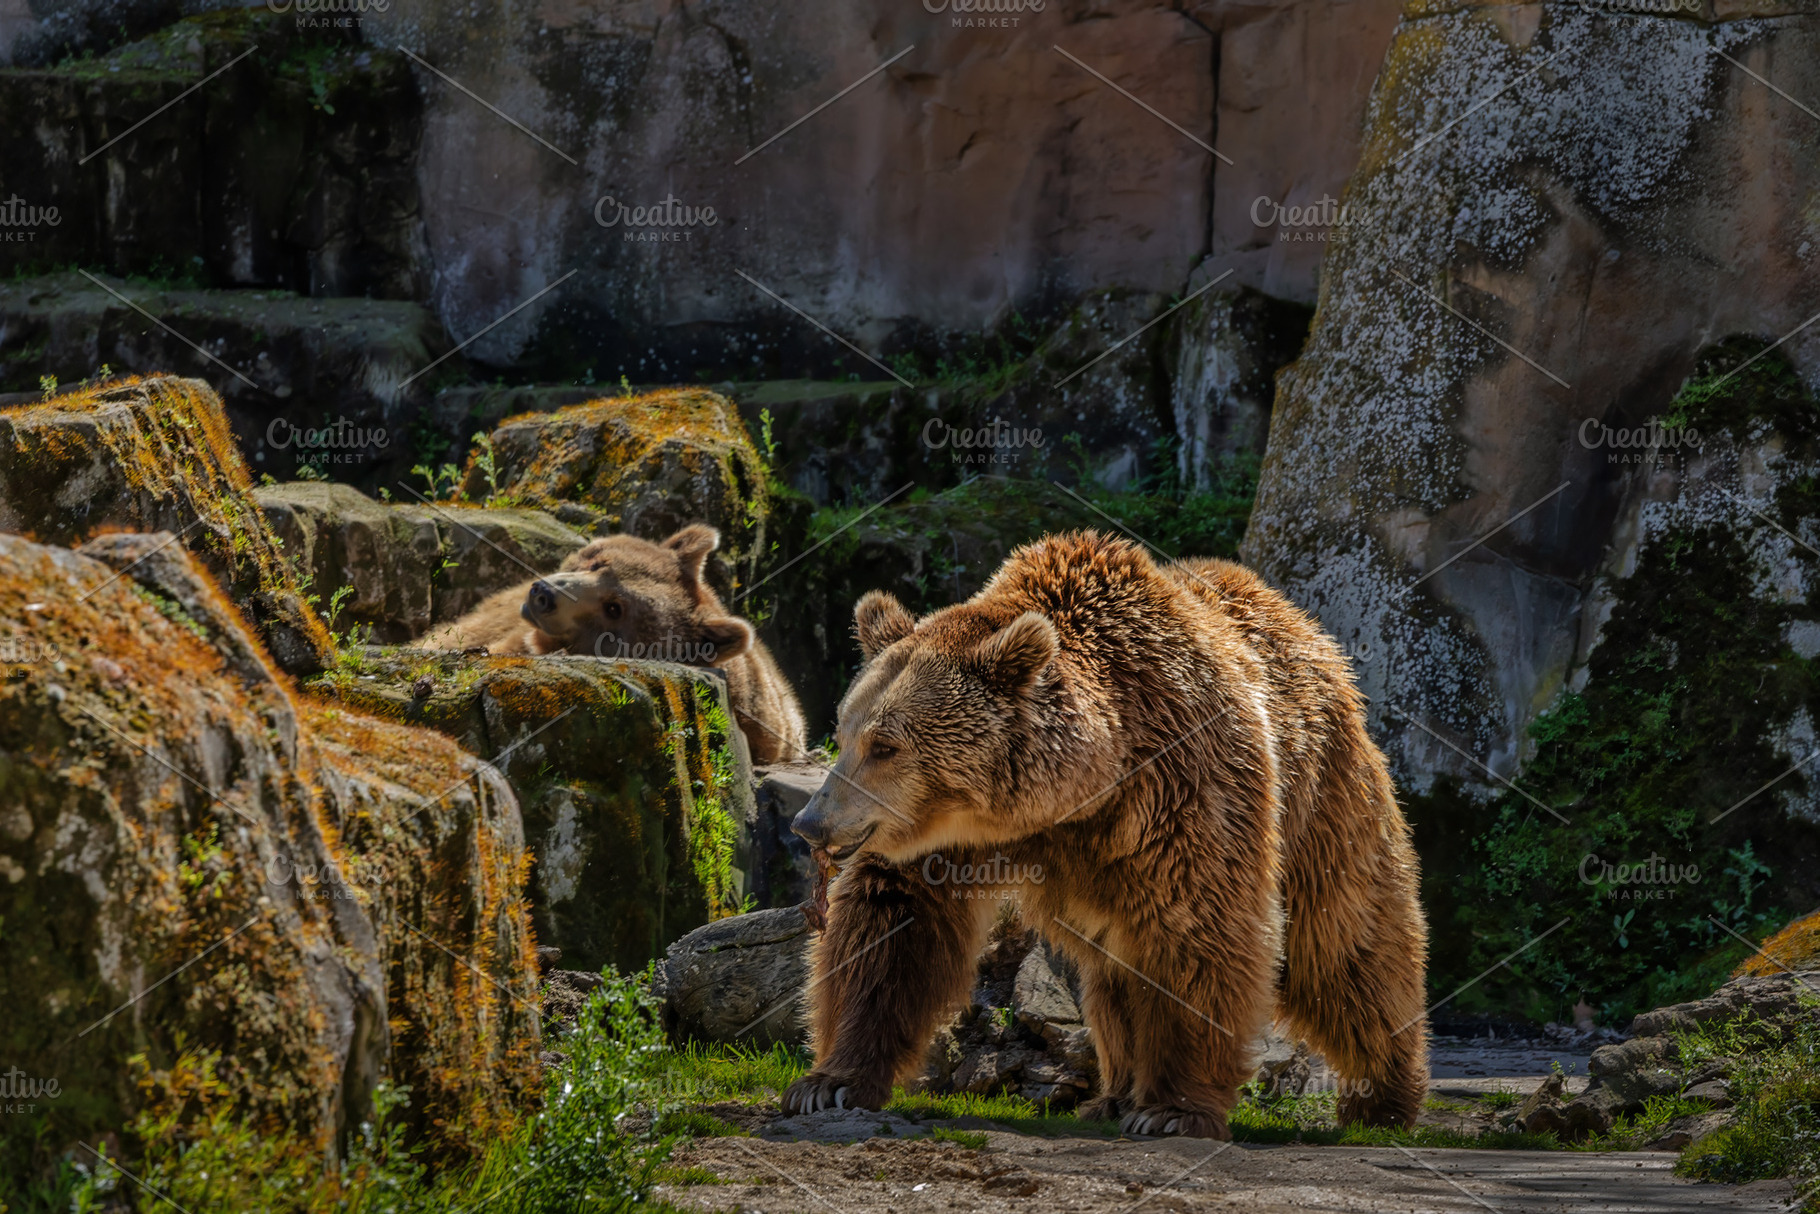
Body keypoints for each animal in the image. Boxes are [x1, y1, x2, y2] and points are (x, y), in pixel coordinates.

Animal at [782, 531, 1428, 1139]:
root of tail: (1306, 629)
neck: (1079, 788)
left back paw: (1381, 1098)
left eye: (884, 746)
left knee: (1345, 944)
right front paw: (828, 1083)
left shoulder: (1182, 782)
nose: (809, 822)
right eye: (844, 731)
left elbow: (1199, 925)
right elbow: (892, 926)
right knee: (1115, 972)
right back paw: (1113, 1094)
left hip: (1320, 791)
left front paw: (1172, 1112)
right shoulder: (943, 838)